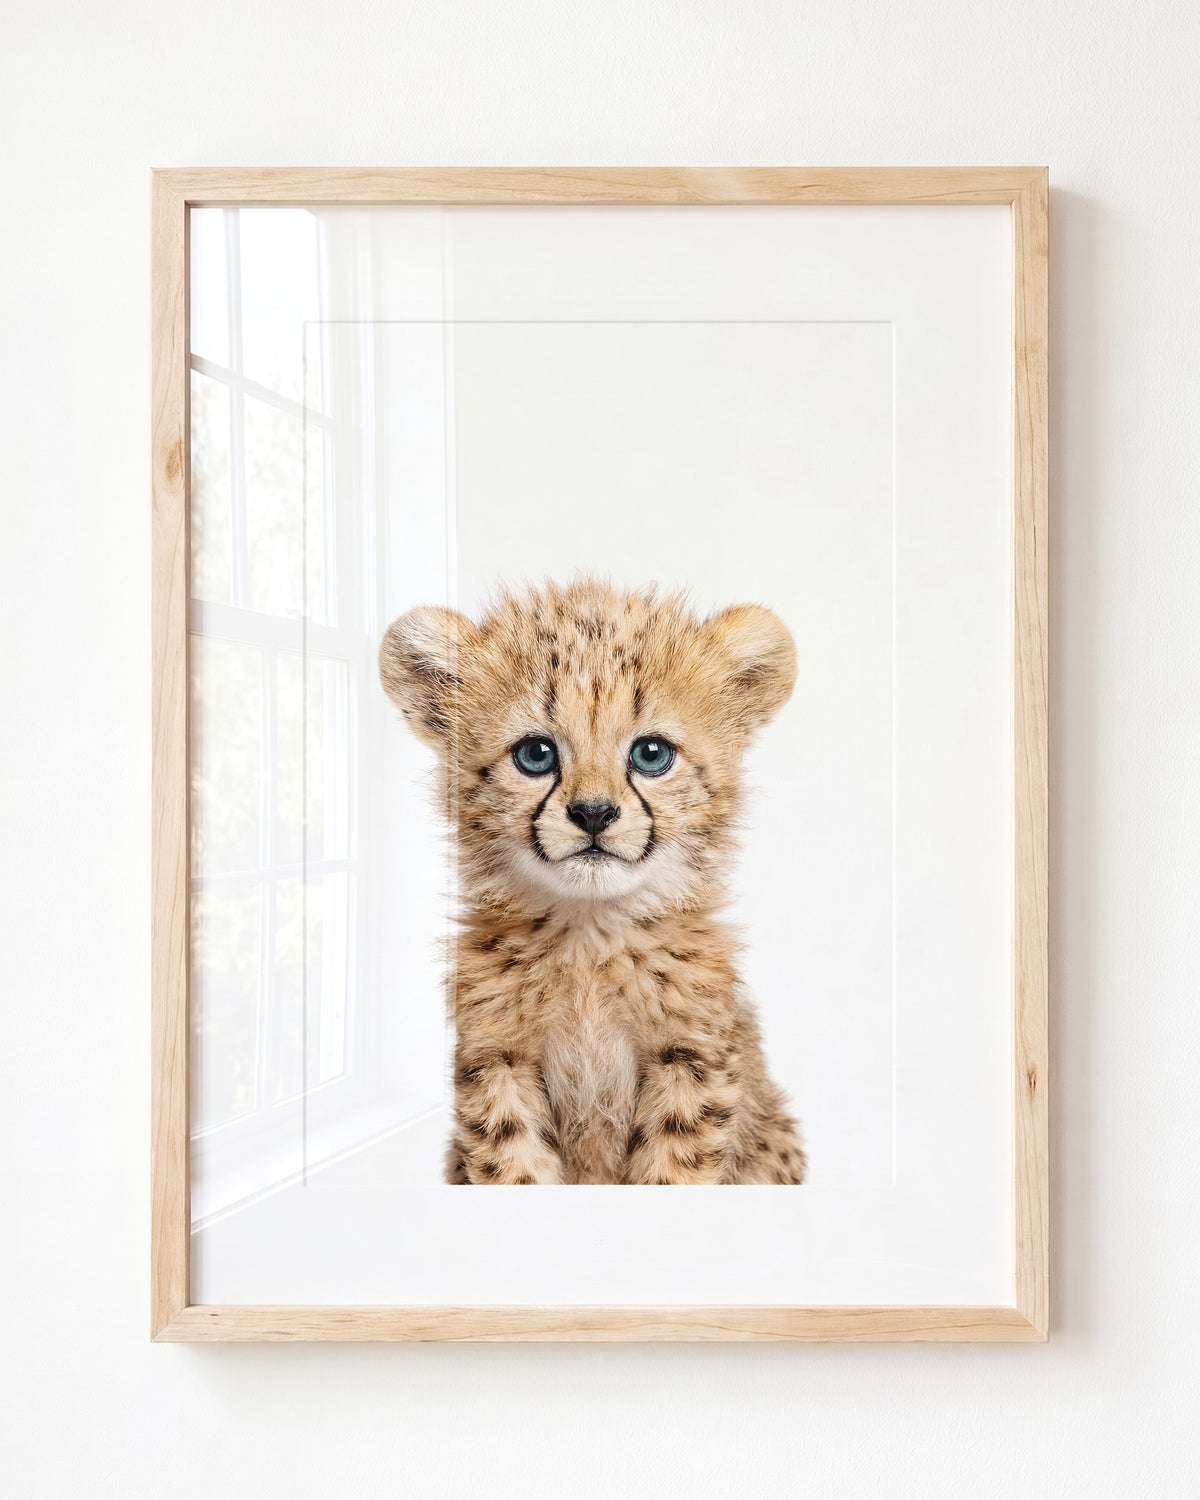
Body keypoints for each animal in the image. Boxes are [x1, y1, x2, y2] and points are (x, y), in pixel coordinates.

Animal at [378, 576, 806, 1185]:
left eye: (651, 754)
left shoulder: (691, 1060)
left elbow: (674, 1169)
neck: (590, 936)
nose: (594, 813)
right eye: (536, 754)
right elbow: (514, 1165)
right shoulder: (498, 1061)